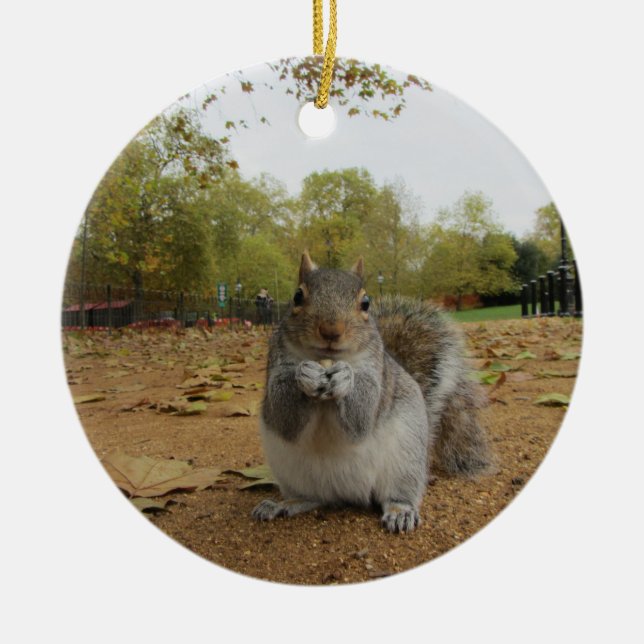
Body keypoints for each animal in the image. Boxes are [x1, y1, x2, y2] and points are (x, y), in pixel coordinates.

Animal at [252, 251, 492, 533]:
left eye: (366, 303)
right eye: (297, 296)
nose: (331, 330)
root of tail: (345, 493)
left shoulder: (376, 375)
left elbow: (362, 416)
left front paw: (346, 378)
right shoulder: (276, 366)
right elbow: (283, 415)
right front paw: (305, 374)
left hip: (405, 461)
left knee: (397, 494)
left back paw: (401, 511)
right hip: (290, 471)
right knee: (312, 498)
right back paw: (282, 504)